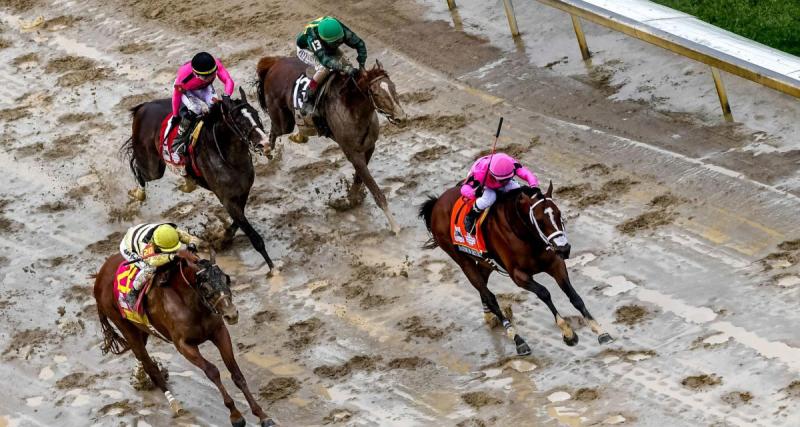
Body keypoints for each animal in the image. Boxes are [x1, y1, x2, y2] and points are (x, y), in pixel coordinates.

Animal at [93, 249, 276, 426]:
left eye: (227, 279)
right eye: (205, 288)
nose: (232, 315)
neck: (190, 302)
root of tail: (99, 278)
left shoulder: (219, 332)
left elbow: (236, 373)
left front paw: (262, 415)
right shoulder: (184, 345)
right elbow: (213, 372)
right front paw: (235, 415)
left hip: (141, 328)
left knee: (141, 358)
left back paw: (140, 377)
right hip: (126, 328)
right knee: (149, 365)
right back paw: (174, 404)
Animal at [122, 88, 276, 272]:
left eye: (256, 114)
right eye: (239, 121)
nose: (265, 144)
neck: (230, 158)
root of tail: (143, 107)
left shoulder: (242, 191)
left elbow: (237, 222)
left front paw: (221, 237)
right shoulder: (226, 198)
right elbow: (253, 236)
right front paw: (273, 269)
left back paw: (187, 183)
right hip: (153, 167)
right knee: (140, 170)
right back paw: (138, 194)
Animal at [256, 56, 406, 234]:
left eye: (393, 87)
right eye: (376, 93)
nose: (401, 118)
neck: (352, 108)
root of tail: (274, 63)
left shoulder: (369, 147)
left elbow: (359, 178)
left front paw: (350, 199)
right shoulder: (352, 152)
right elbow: (374, 189)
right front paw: (395, 227)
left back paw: (298, 136)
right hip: (283, 122)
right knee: (274, 132)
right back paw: (266, 151)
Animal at [418, 186, 612, 356]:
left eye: (559, 214)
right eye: (540, 221)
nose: (564, 249)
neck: (523, 234)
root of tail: (437, 203)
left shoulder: (555, 264)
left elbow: (574, 296)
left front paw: (599, 330)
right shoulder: (518, 275)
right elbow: (544, 293)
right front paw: (568, 332)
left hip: (486, 263)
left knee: (484, 287)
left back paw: (489, 317)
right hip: (462, 260)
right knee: (489, 296)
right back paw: (518, 339)